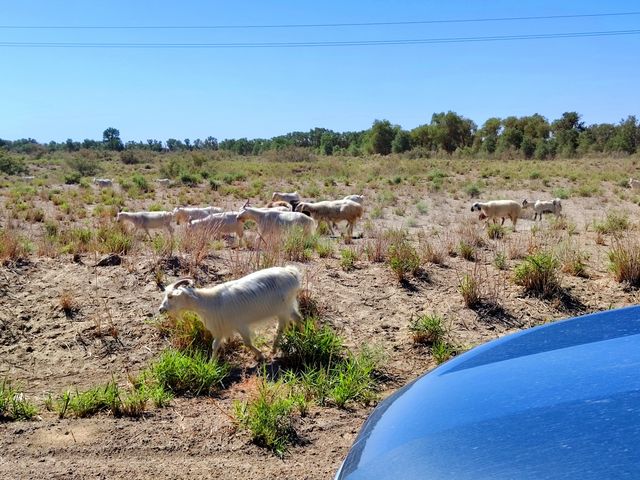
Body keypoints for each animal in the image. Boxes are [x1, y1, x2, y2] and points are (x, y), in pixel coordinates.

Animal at [156, 266, 304, 360]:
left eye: (170, 296)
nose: (161, 309)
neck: (209, 302)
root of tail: (291, 272)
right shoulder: (220, 329)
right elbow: (215, 346)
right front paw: (211, 364)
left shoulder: (240, 324)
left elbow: (247, 343)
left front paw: (260, 355)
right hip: (288, 307)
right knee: (298, 318)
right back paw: (303, 335)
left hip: (283, 309)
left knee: (281, 327)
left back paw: (274, 349)